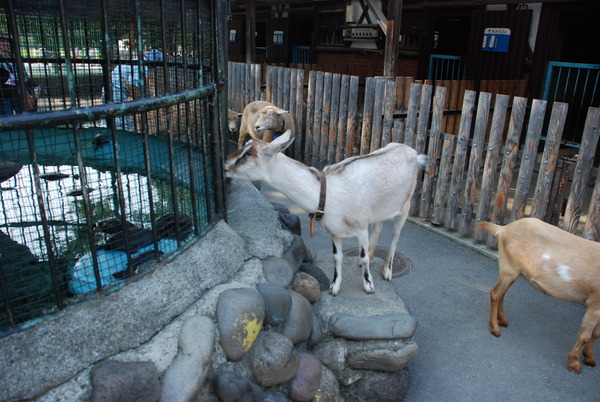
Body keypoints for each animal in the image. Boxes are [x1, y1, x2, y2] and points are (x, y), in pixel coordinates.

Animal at [224, 130, 426, 296]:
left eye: (248, 153)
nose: (225, 164)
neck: (330, 193)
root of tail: (413, 153)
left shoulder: (361, 227)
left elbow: (361, 253)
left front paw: (368, 286)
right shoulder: (335, 232)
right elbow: (337, 257)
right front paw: (334, 287)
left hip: (406, 204)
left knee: (395, 236)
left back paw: (386, 271)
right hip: (379, 209)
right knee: (379, 227)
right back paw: (371, 256)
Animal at [478, 217, 600, 374]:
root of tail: (504, 229)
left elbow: (596, 333)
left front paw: (589, 357)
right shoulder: (594, 302)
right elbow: (585, 336)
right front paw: (574, 364)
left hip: (512, 269)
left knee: (502, 293)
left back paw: (502, 320)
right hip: (509, 267)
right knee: (496, 293)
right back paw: (495, 328)